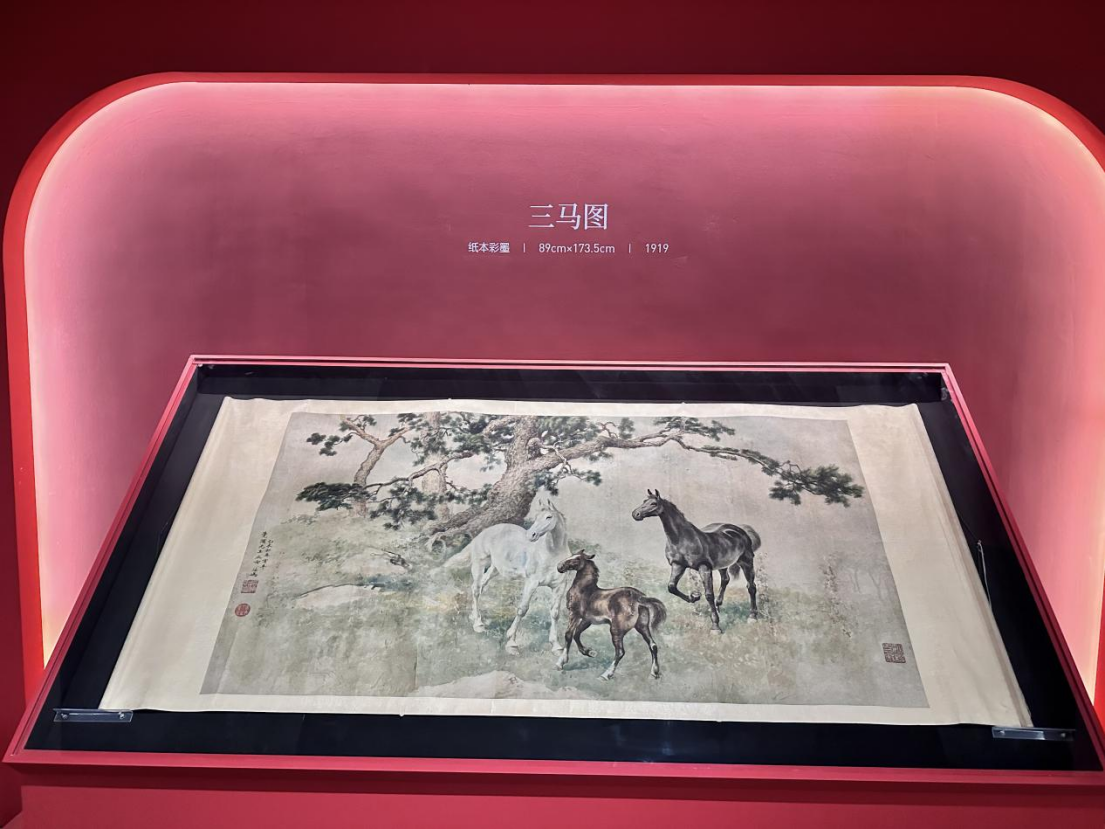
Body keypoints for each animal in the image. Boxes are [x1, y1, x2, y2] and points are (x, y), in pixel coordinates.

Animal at [445, 495, 571, 652]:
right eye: (536, 517)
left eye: (549, 517)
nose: (531, 535)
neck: (553, 555)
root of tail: (484, 532)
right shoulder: (531, 582)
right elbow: (522, 609)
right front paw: (512, 642)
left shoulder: (559, 586)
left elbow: (555, 613)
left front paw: (556, 645)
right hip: (479, 564)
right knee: (475, 589)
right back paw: (478, 624)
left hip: (495, 569)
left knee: (481, 586)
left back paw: (474, 617)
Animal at [555, 551, 667, 680]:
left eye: (577, 559)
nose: (559, 567)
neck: (585, 590)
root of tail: (639, 597)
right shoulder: (587, 620)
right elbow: (576, 634)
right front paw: (589, 652)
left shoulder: (575, 614)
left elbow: (569, 635)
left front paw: (560, 663)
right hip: (642, 627)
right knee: (653, 645)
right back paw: (655, 672)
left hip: (616, 630)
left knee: (620, 652)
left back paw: (606, 675)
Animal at [631, 489, 761, 633]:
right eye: (644, 501)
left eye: (653, 503)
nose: (635, 514)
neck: (682, 539)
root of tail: (740, 530)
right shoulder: (678, 565)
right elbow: (672, 587)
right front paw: (694, 597)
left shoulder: (704, 568)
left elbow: (709, 594)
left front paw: (715, 627)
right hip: (722, 565)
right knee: (725, 580)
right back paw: (718, 606)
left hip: (746, 562)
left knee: (751, 587)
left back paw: (752, 616)